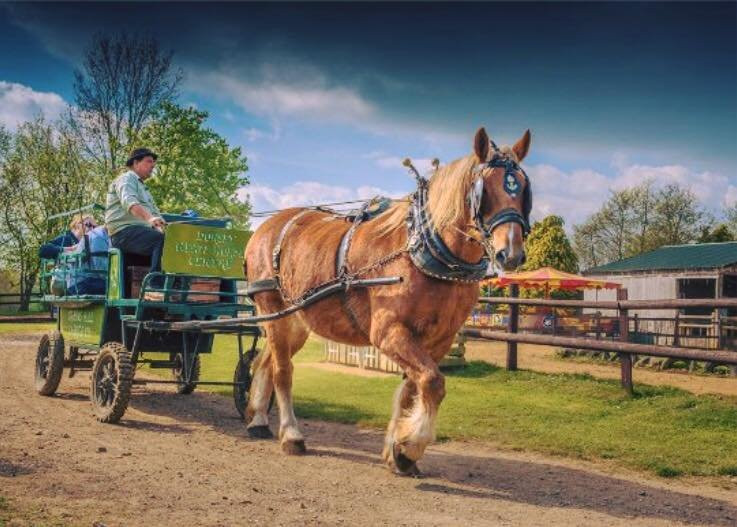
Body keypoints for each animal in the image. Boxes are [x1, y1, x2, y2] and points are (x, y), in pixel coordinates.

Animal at [244, 127, 532, 474]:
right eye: (484, 189)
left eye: (523, 189)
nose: (510, 253)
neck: (423, 253)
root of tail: (267, 227)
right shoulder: (388, 332)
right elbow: (432, 382)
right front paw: (411, 446)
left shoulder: (439, 339)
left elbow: (412, 388)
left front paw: (397, 451)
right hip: (272, 309)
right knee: (282, 371)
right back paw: (291, 435)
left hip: (296, 321)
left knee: (265, 361)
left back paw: (258, 420)